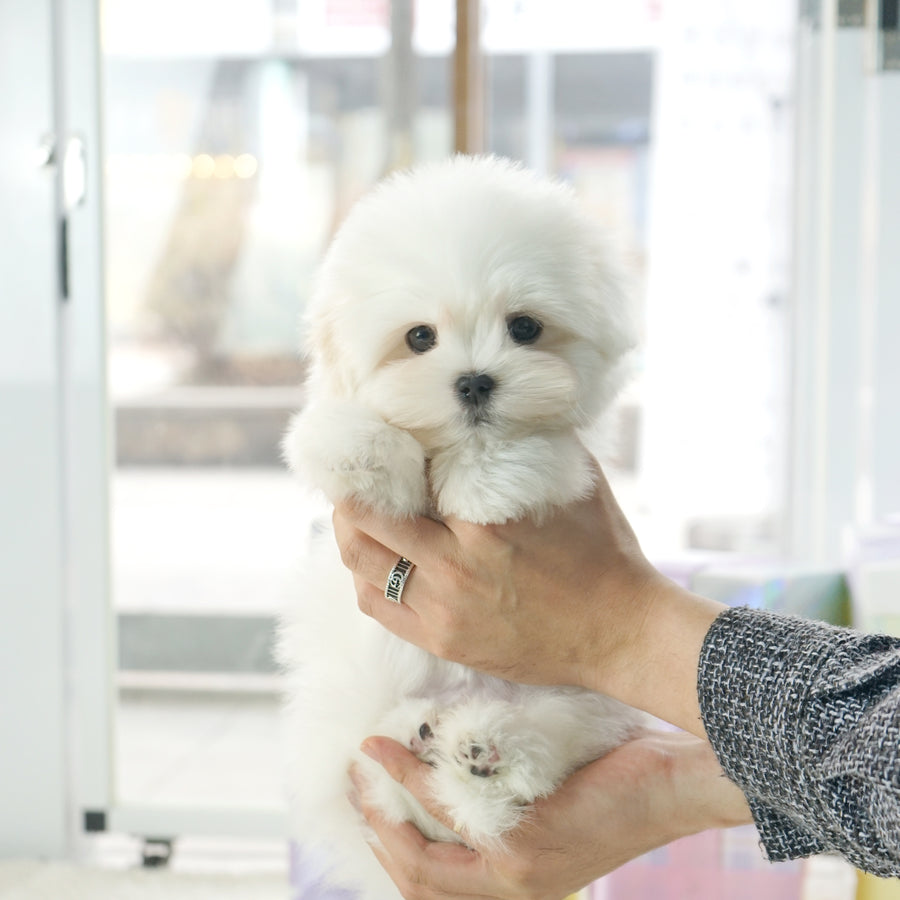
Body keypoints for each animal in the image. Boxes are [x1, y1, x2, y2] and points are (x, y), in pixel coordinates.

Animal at [284, 156, 648, 900]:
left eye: (526, 328)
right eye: (418, 337)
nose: (476, 382)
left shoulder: (568, 456)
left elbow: (536, 450)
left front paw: (486, 482)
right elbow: (342, 437)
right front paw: (363, 449)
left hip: (588, 695)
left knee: (549, 752)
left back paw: (485, 752)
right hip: (346, 724)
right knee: (386, 779)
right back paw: (430, 739)